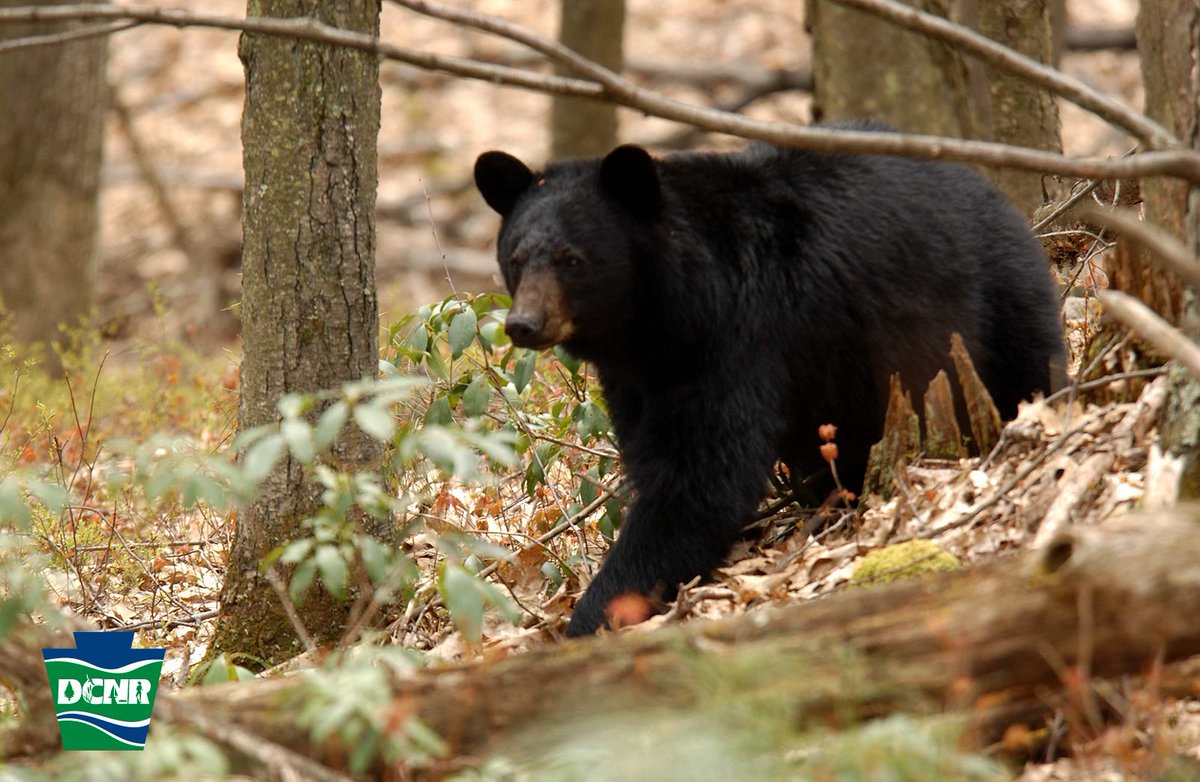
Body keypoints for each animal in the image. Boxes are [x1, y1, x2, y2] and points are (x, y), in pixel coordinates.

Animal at [472, 122, 1065, 633]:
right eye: (517, 257)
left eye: (572, 259)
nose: (523, 323)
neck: (659, 316)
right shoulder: (641, 374)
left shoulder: (738, 336)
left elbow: (701, 476)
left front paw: (593, 615)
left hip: (993, 296)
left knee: (1024, 365)